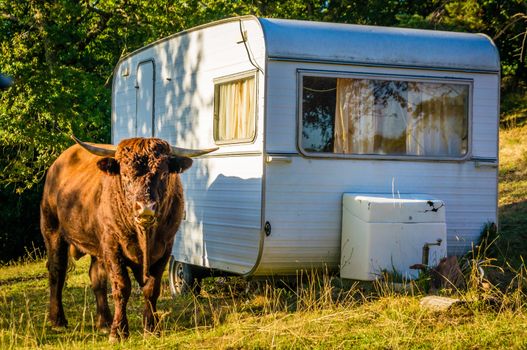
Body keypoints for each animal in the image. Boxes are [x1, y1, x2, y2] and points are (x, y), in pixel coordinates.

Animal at [39, 135, 217, 340]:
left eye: (164, 174)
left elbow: (151, 289)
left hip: (96, 244)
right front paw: (118, 331)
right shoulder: (113, 246)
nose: (145, 208)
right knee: (57, 271)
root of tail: (57, 163)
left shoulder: (165, 249)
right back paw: (58, 320)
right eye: (124, 175)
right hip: (52, 230)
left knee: (97, 277)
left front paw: (151, 328)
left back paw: (104, 321)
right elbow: (122, 287)